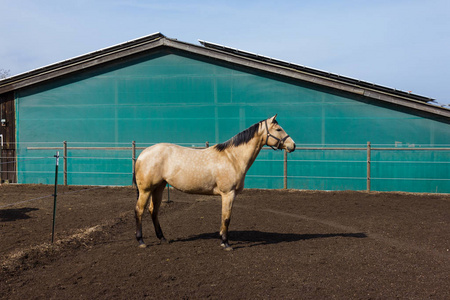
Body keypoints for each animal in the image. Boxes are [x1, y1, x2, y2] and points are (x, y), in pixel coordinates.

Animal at [134, 113, 296, 250]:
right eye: (279, 129)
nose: (293, 145)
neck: (233, 158)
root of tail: (143, 154)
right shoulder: (228, 194)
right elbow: (226, 218)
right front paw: (226, 243)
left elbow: (225, 217)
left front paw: (223, 240)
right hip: (146, 190)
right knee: (139, 210)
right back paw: (141, 241)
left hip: (159, 187)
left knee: (153, 210)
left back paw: (162, 238)